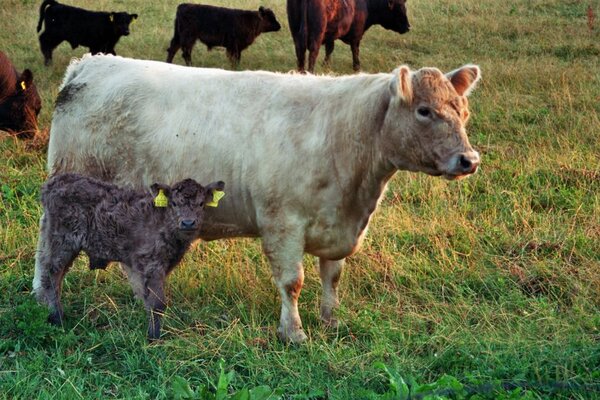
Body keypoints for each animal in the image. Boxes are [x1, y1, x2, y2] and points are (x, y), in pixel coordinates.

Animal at [33, 173, 225, 340]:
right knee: (50, 275)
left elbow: (149, 299)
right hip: (62, 240)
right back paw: (57, 318)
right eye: (174, 204)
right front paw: (154, 337)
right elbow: (157, 303)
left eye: (201, 203)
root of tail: (54, 182)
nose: (188, 222)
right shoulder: (150, 263)